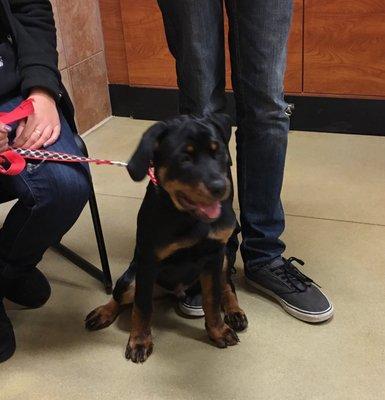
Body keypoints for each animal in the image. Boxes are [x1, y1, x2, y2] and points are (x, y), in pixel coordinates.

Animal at [85, 112, 246, 362]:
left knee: (227, 285)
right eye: (184, 158)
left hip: (226, 255)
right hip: (133, 278)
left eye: (217, 151)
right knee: (121, 295)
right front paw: (140, 341)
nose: (221, 187)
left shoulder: (213, 256)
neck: (189, 219)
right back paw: (103, 312)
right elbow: (142, 308)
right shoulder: (148, 262)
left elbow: (212, 299)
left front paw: (218, 331)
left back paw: (234, 311)